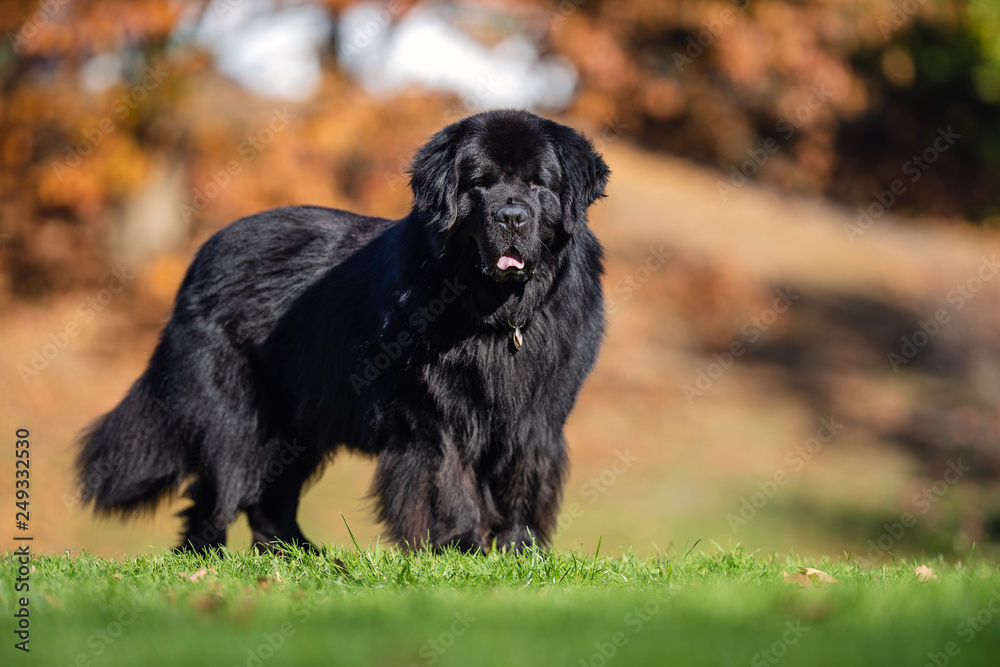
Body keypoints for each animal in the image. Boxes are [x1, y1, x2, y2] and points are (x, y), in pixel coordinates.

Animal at [78, 108, 608, 552]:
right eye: (479, 183)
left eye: (538, 183)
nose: (511, 216)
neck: (497, 316)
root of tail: (201, 256)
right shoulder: (433, 414)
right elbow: (448, 479)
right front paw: (462, 545)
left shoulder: (538, 414)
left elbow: (525, 480)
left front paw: (520, 550)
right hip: (235, 417)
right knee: (219, 488)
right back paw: (206, 559)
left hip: (299, 423)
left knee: (271, 495)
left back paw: (295, 555)